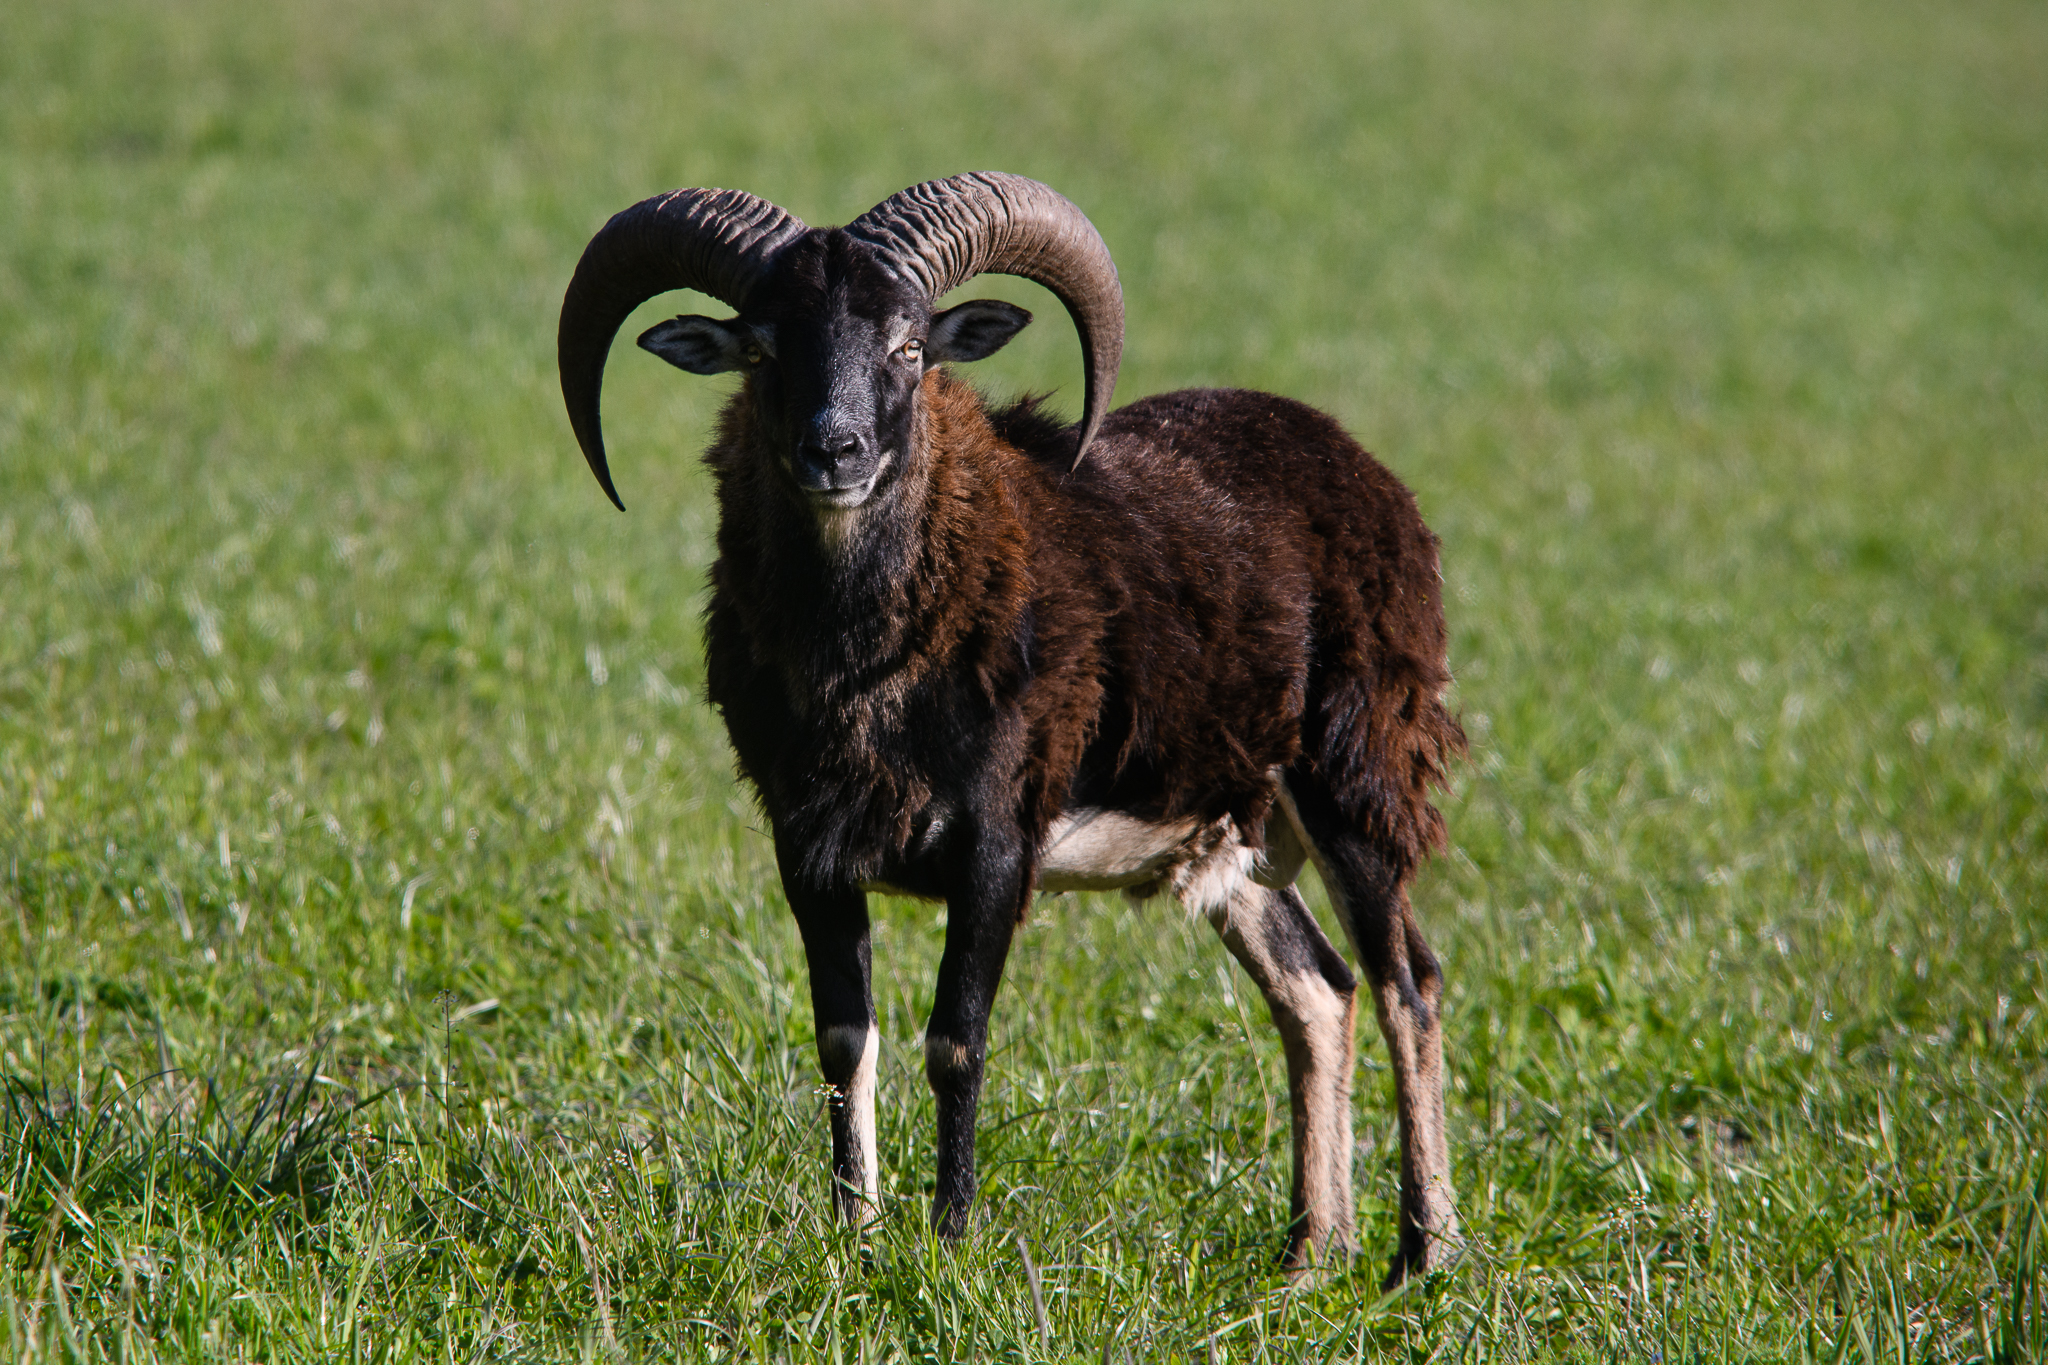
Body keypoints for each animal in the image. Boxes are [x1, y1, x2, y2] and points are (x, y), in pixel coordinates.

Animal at [557, 172, 1465, 1284]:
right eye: (763, 347)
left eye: (909, 346)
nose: (833, 452)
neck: (869, 664)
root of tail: (1372, 483)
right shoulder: (808, 851)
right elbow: (843, 1041)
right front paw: (854, 1241)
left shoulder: (994, 844)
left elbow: (956, 1040)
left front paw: (949, 1241)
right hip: (1233, 839)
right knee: (1318, 992)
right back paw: (1307, 1258)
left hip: (1352, 784)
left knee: (1405, 983)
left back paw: (1422, 1254)